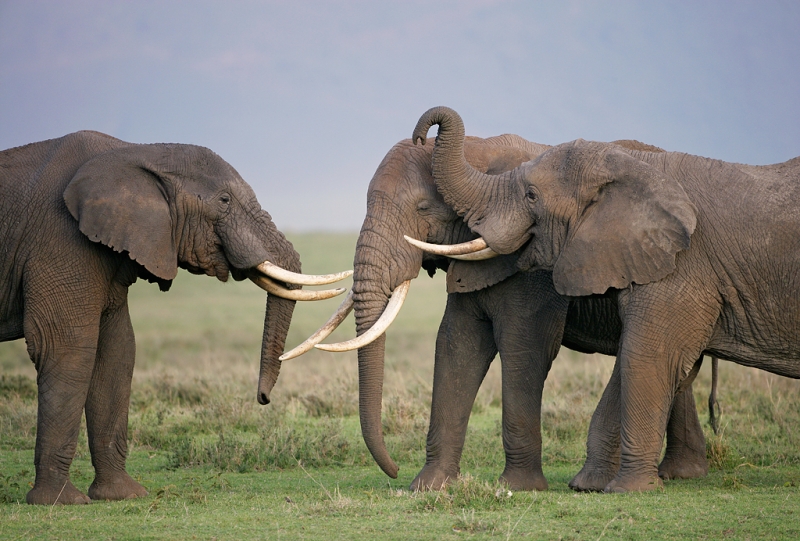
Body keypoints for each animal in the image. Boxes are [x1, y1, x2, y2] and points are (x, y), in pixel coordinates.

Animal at [0, 130, 350, 502]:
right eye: (224, 200)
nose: (264, 398)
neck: (136, 151)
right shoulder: (60, 240)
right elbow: (66, 348)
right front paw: (59, 502)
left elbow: (117, 351)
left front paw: (123, 495)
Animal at [288, 131, 712, 490]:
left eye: (422, 208)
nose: (392, 471)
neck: (476, 153)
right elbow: (456, 346)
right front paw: (428, 487)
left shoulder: (532, 268)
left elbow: (525, 346)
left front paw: (518, 487)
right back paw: (681, 475)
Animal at [412, 105, 800, 494]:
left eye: (531, 195)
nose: (420, 135)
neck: (636, 167)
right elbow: (635, 355)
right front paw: (589, 485)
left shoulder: (684, 266)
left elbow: (646, 355)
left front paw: (628, 490)